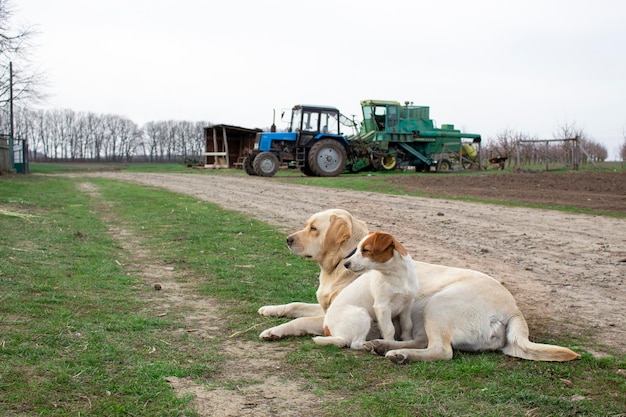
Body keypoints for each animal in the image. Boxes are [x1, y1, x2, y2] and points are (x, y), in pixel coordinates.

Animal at [256, 208, 576, 360]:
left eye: (313, 228)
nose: (288, 239)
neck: (342, 263)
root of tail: (514, 309)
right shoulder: (325, 305)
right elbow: (295, 305)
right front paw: (270, 310)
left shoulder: (334, 313)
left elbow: (301, 321)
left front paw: (273, 331)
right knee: (423, 341)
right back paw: (384, 346)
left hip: (438, 304)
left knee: (441, 351)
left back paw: (397, 353)